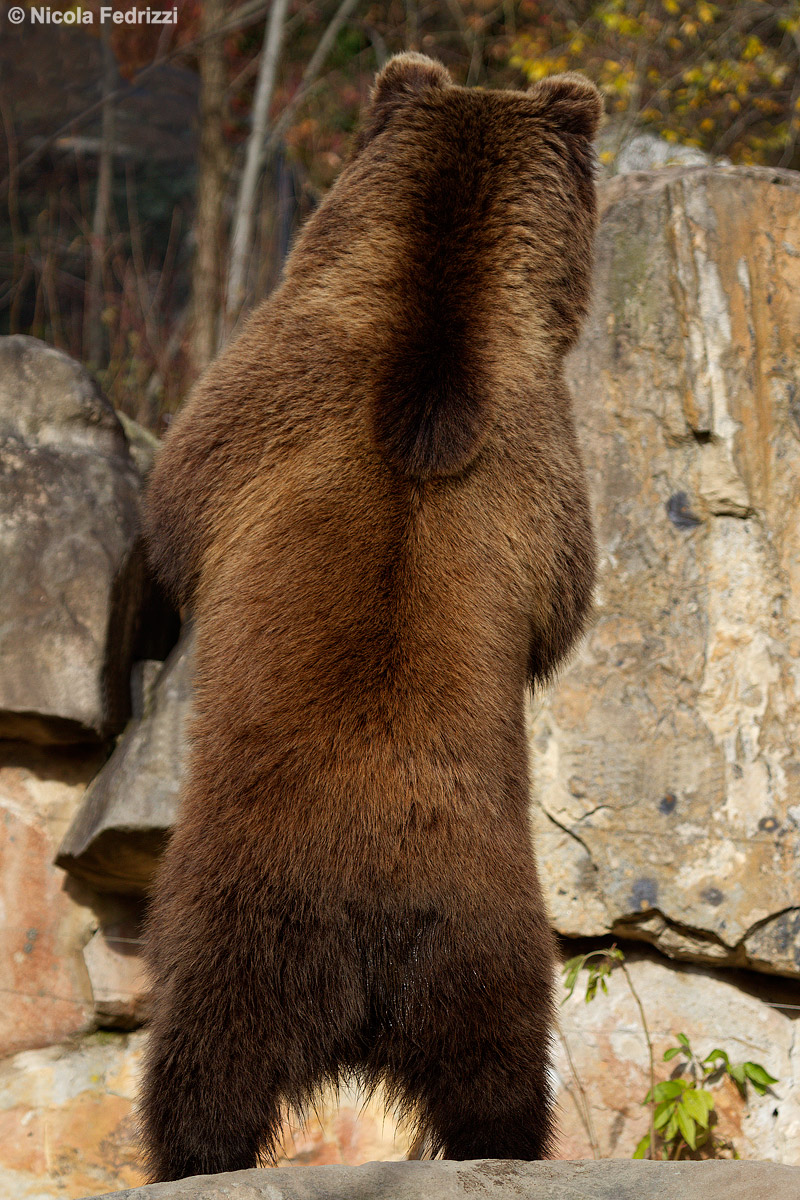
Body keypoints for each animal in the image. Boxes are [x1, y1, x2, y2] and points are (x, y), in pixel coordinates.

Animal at [139, 52, 600, 1182]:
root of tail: (369, 940)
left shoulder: (257, 400)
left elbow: (177, 500)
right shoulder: (532, 448)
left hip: (243, 919)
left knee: (202, 1058)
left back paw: (188, 1154)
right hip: (485, 946)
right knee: (497, 1071)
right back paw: (506, 1147)